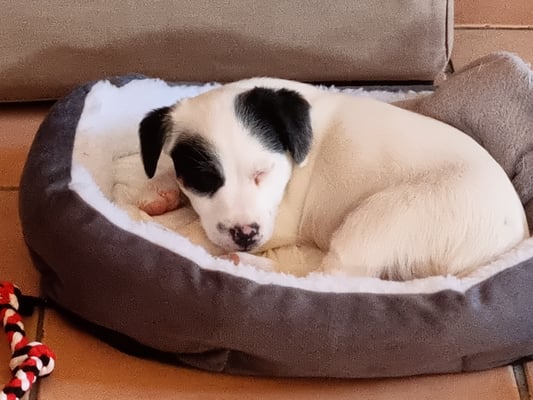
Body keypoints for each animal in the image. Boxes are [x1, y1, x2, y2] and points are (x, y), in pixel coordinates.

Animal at [137, 78, 529, 280]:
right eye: (204, 179)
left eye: (263, 172)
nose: (245, 235)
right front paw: (161, 189)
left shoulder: (279, 221)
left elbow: (193, 231)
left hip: (382, 218)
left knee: (327, 276)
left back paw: (247, 264)